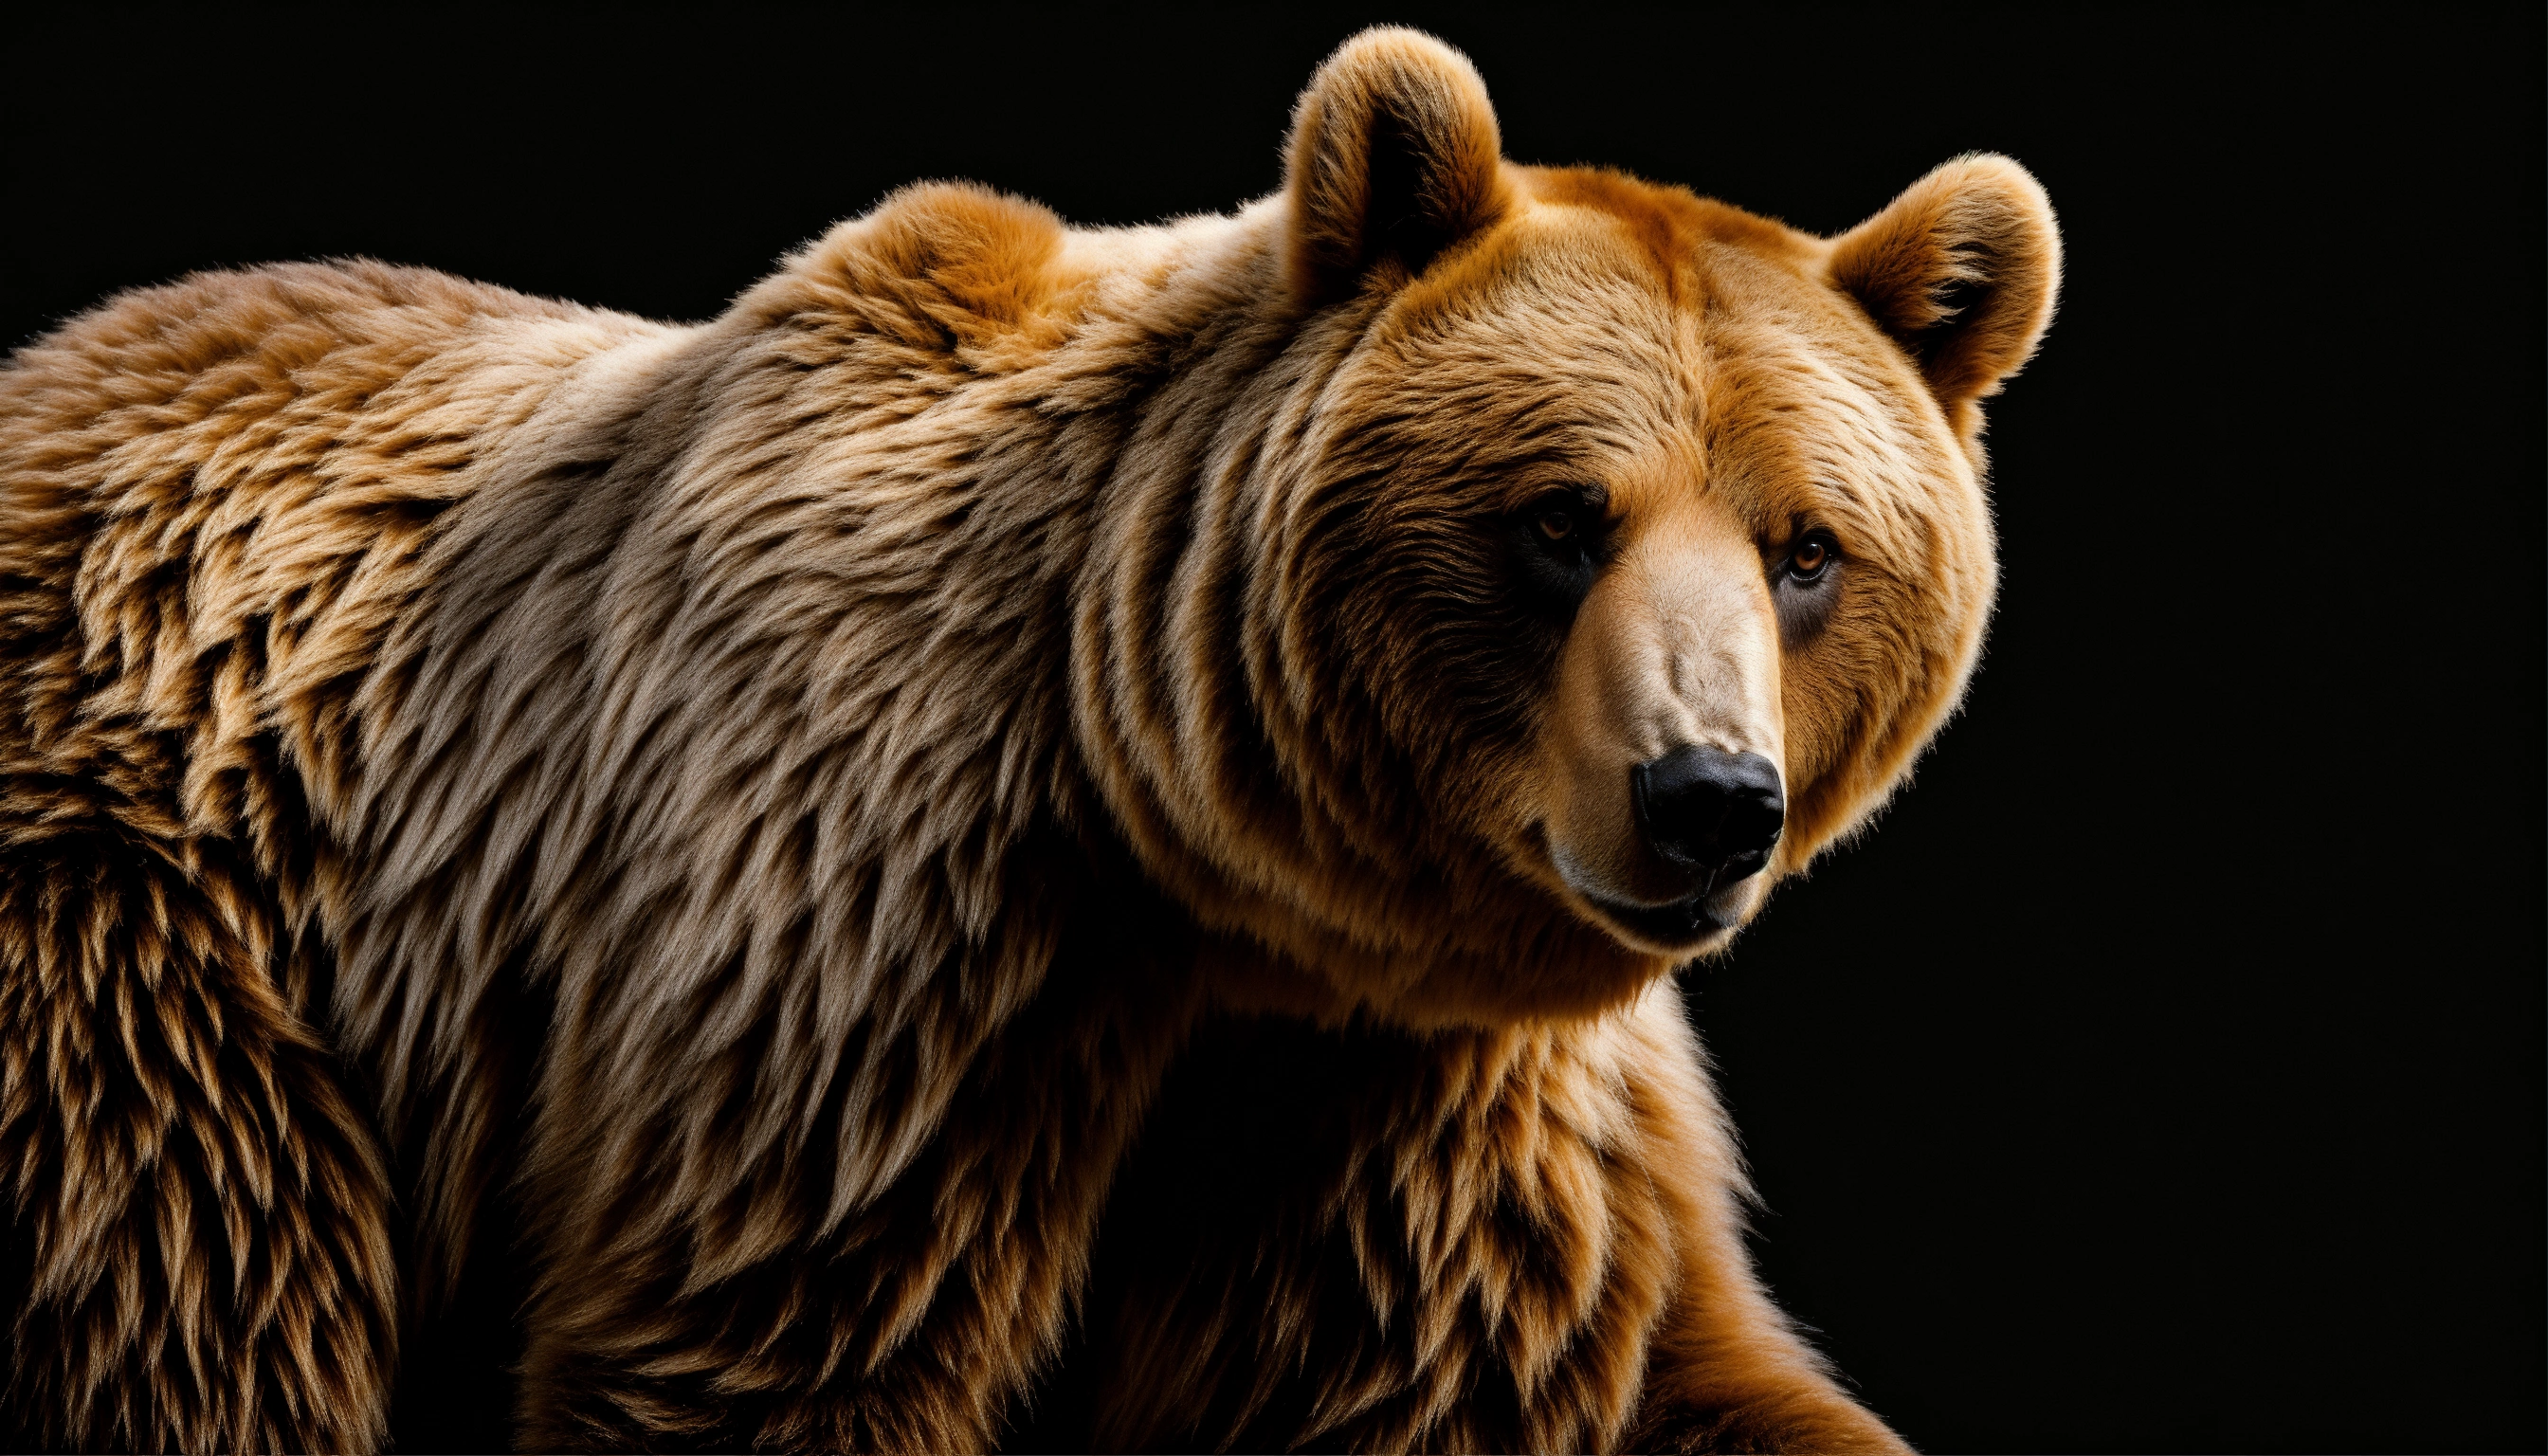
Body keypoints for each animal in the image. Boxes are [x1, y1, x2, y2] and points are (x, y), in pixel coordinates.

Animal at [0, 25, 2058, 1455]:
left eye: (1806, 548)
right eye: (1562, 519)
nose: (1706, 800)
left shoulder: (1410, 1099)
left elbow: (1591, 1366)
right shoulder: (871, 927)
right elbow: (764, 1343)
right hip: (159, 922)